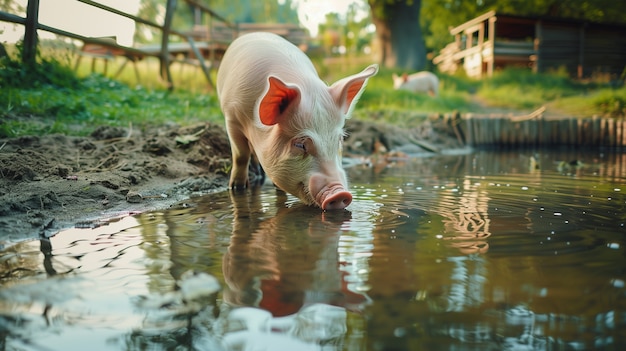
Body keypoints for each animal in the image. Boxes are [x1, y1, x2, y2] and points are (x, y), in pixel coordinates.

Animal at [217, 31, 378, 210]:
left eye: (339, 140)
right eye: (300, 145)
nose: (340, 194)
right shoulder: (232, 117)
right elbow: (240, 154)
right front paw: (236, 188)